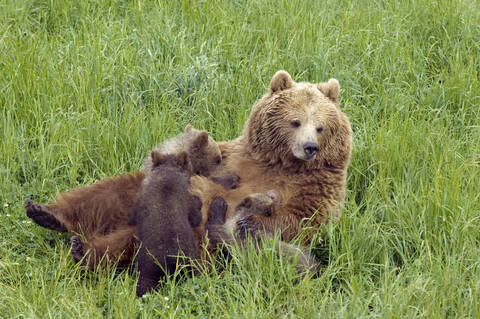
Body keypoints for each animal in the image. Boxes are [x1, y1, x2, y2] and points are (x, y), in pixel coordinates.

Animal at [191, 70, 352, 244]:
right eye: (296, 122)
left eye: (320, 127)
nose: (310, 147)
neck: (283, 162)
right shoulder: (234, 158)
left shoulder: (319, 183)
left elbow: (305, 219)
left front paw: (250, 220)